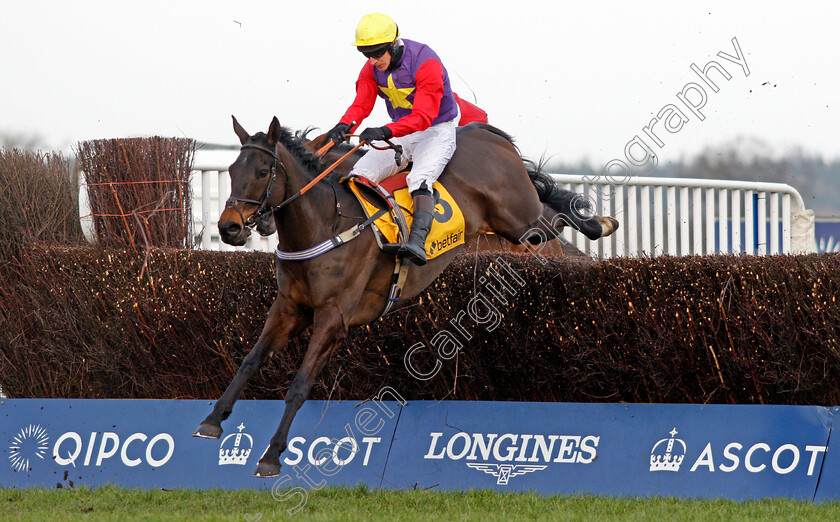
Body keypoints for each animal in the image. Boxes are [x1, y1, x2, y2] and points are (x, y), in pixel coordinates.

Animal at [194, 115, 620, 476]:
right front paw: (212, 420)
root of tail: (483, 132)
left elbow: (299, 385)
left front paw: (271, 455)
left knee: (554, 215)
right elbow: (249, 361)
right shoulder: (288, 309)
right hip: (513, 225)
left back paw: (600, 222)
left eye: (262, 171)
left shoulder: (333, 316)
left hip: (520, 219)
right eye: (232, 171)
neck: (323, 225)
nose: (229, 227)